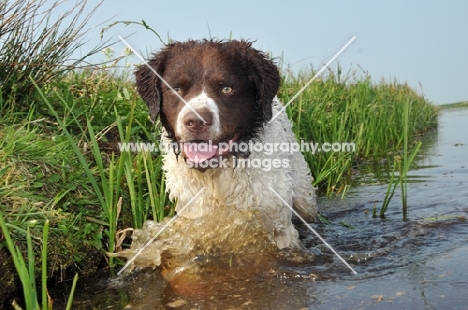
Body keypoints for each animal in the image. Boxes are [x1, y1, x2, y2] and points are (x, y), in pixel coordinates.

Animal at [135, 39, 318, 249]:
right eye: (176, 88)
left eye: (227, 89)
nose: (196, 121)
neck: (217, 177)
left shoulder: (279, 226)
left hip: (305, 197)